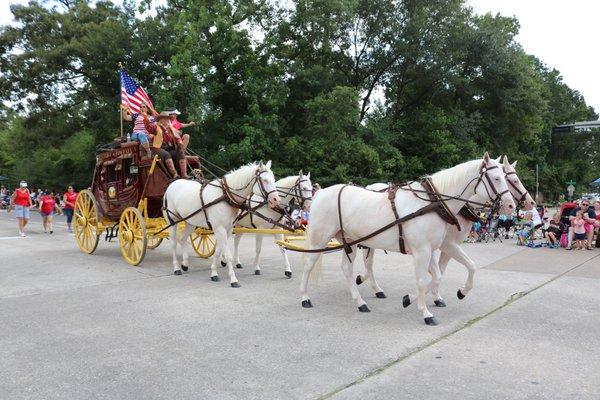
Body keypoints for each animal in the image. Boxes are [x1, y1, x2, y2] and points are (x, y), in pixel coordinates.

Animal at [298, 152, 512, 324]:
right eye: (496, 178)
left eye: (506, 178)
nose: (511, 205)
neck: (433, 203)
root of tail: (320, 193)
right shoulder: (422, 250)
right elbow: (423, 280)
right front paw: (425, 313)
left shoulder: (434, 247)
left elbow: (442, 275)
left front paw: (414, 298)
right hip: (320, 239)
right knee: (308, 265)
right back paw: (305, 298)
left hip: (349, 241)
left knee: (348, 269)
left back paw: (360, 302)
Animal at [356, 155, 536, 306]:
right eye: (508, 179)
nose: (530, 203)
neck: (441, 203)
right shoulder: (448, 244)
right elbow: (454, 269)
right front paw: (431, 296)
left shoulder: (446, 245)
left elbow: (444, 271)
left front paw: (435, 296)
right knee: (367, 261)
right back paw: (371, 286)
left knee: (368, 261)